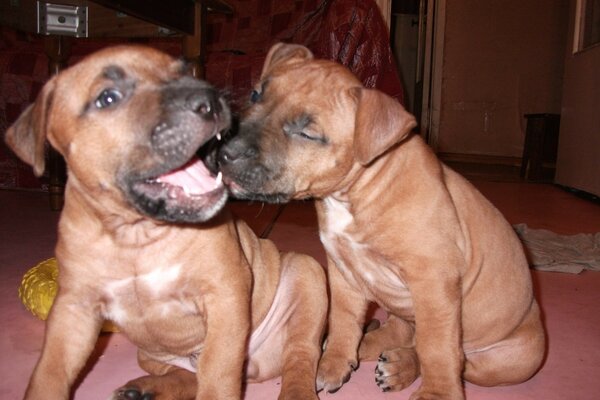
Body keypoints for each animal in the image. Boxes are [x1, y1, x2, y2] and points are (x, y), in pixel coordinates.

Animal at [4, 44, 326, 400]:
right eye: (107, 98)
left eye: (185, 71)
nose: (209, 99)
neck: (136, 234)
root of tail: (257, 367)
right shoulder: (74, 310)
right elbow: (49, 370)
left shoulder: (224, 290)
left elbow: (218, 372)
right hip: (149, 354)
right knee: (186, 374)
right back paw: (145, 389)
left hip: (306, 273)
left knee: (299, 354)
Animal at [218, 43, 548, 400]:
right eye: (255, 95)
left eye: (308, 134)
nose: (225, 151)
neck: (358, 191)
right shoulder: (343, 271)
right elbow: (344, 319)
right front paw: (334, 362)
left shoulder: (434, 281)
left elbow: (438, 347)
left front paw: (437, 394)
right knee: (404, 333)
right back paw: (368, 347)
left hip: (515, 359)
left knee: (454, 358)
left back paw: (402, 366)